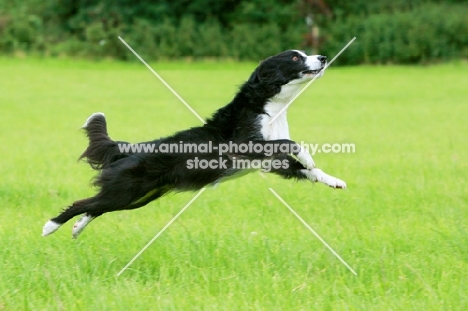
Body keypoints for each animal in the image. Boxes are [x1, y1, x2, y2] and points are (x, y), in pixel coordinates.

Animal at [42, 50, 346, 239]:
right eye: (295, 57)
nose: (323, 57)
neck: (269, 106)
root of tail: (129, 149)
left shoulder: (271, 162)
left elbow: (303, 169)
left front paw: (334, 180)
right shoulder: (244, 145)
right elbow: (291, 143)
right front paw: (308, 157)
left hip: (137, 198)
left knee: (96, 206)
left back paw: (76, 228)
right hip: (126, 190)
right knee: (85, 202)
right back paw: (50, 226)